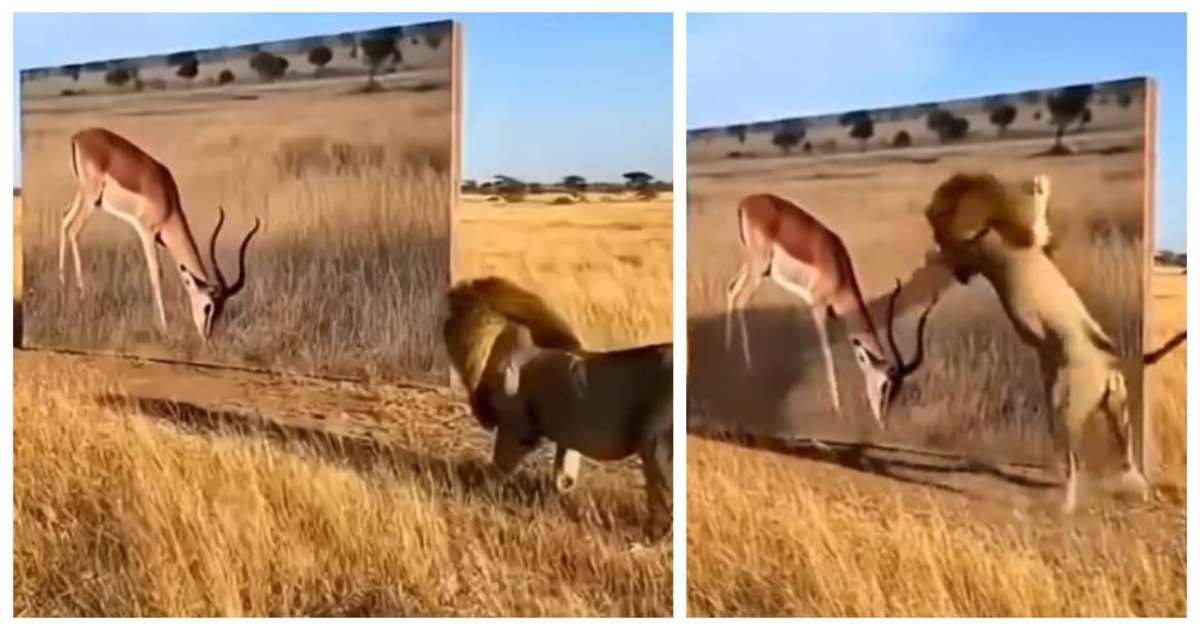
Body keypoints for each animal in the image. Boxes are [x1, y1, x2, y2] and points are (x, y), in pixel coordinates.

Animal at [58, 127, 261, 339]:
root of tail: (79, 137)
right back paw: (82, 293)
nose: (206, 335)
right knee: (74, 229)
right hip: (90, 198)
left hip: (86, 197)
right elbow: (156, 273)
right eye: (208, 307)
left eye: (220, 310)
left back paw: (63, 285)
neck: (168, 203)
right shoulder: (147, 232)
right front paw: (163, 326)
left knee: (64, 218)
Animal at [724, 192, 939, 442]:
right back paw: (748, 371)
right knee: (742, 301)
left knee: (731, 289)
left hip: (755, 267)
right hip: (759, 268)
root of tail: (746, 202)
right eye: (885, 385)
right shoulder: (817, 307)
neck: (838, 268)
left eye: (897, 389)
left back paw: (728, 352)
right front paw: (837, 408)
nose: (883, 422)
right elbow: (826, 351)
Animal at [922, 172, 1186, 514]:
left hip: (1078, 407)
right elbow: (1034, 226)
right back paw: (1110, 494)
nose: (931, 211)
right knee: (1107, 460)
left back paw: (1077, 500)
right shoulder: (1016, 240)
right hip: (1097, 409)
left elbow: (1035, 222)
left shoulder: (1013, 237)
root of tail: (1105, 359)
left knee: (1088, 460)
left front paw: (1039, 185)